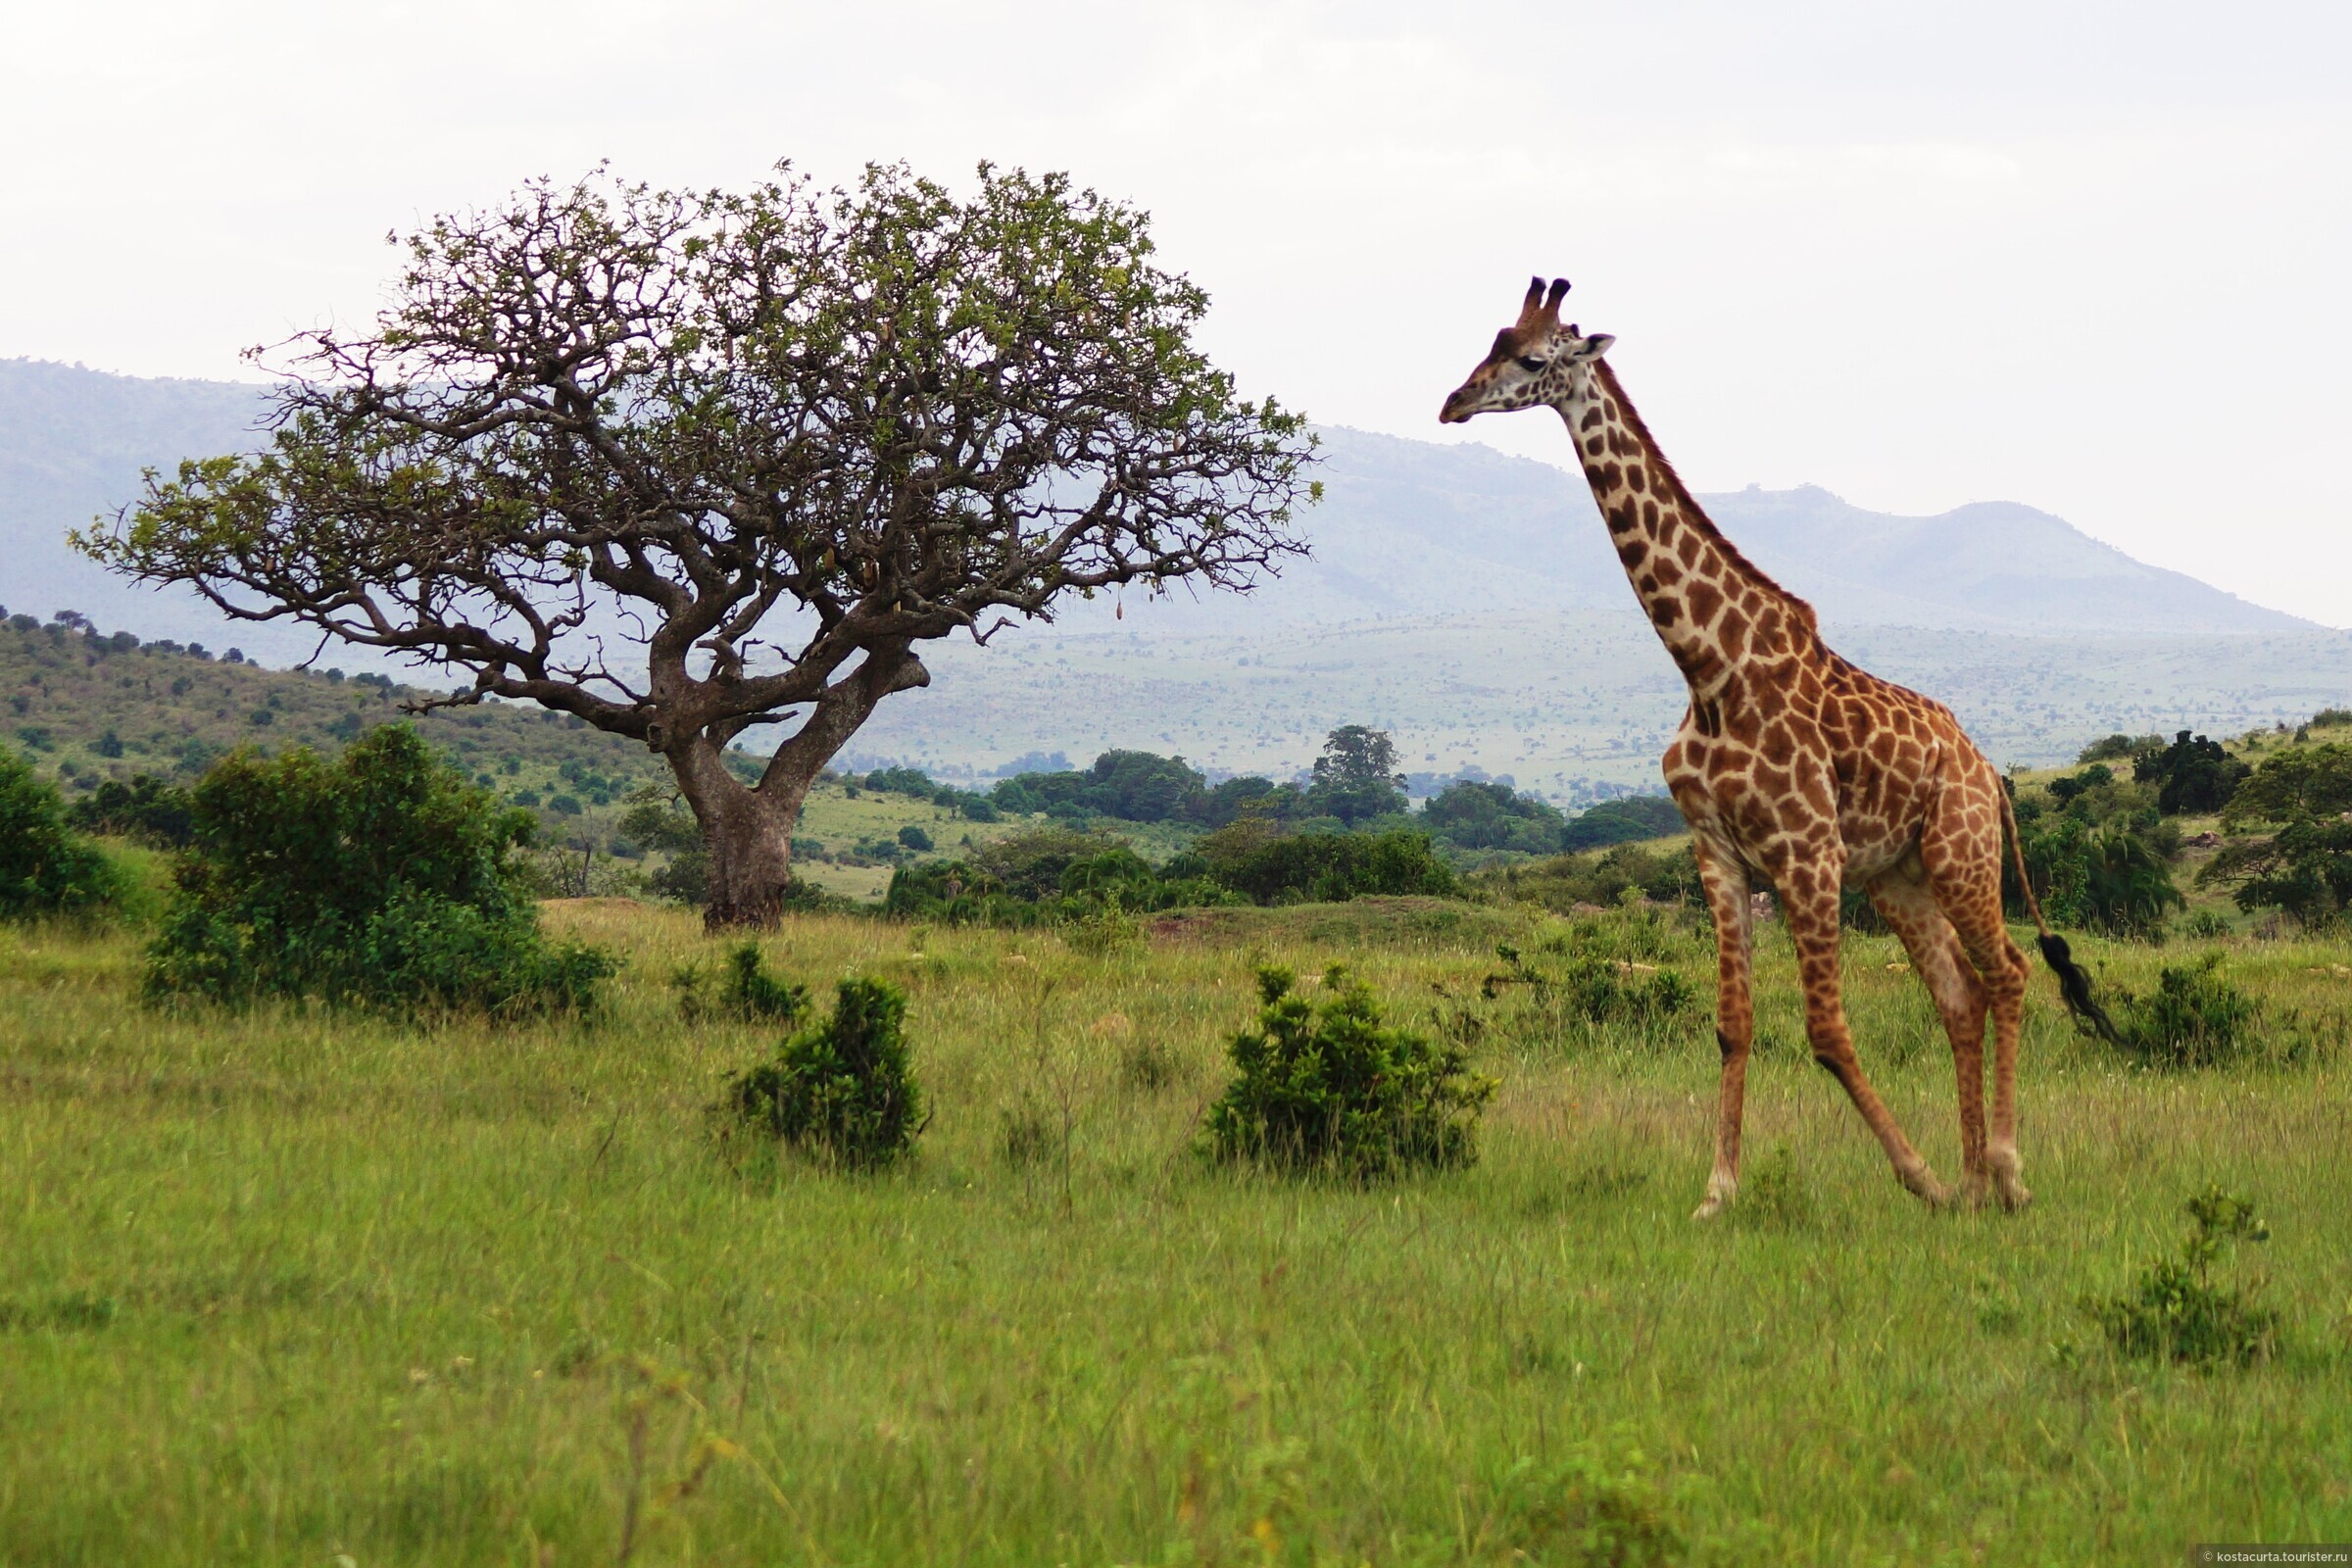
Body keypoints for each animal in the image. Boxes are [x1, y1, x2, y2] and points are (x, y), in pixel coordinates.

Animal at [1430, 278, 2117, 1212]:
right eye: (1489, 343)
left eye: (1533, 358)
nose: (1454, 402)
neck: (1709, 666)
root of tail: (1990, 773)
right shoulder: (1720, 855)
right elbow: (1733, 1025)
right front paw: (1718, 1192)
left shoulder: (1806, 852)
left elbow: (1826, 1030)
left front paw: (1917, 1176)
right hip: (1898, 879)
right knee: (1960, 996)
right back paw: (1975, 1180)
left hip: (1960, 853)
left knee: (2007, 974)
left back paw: (2005, 1174)